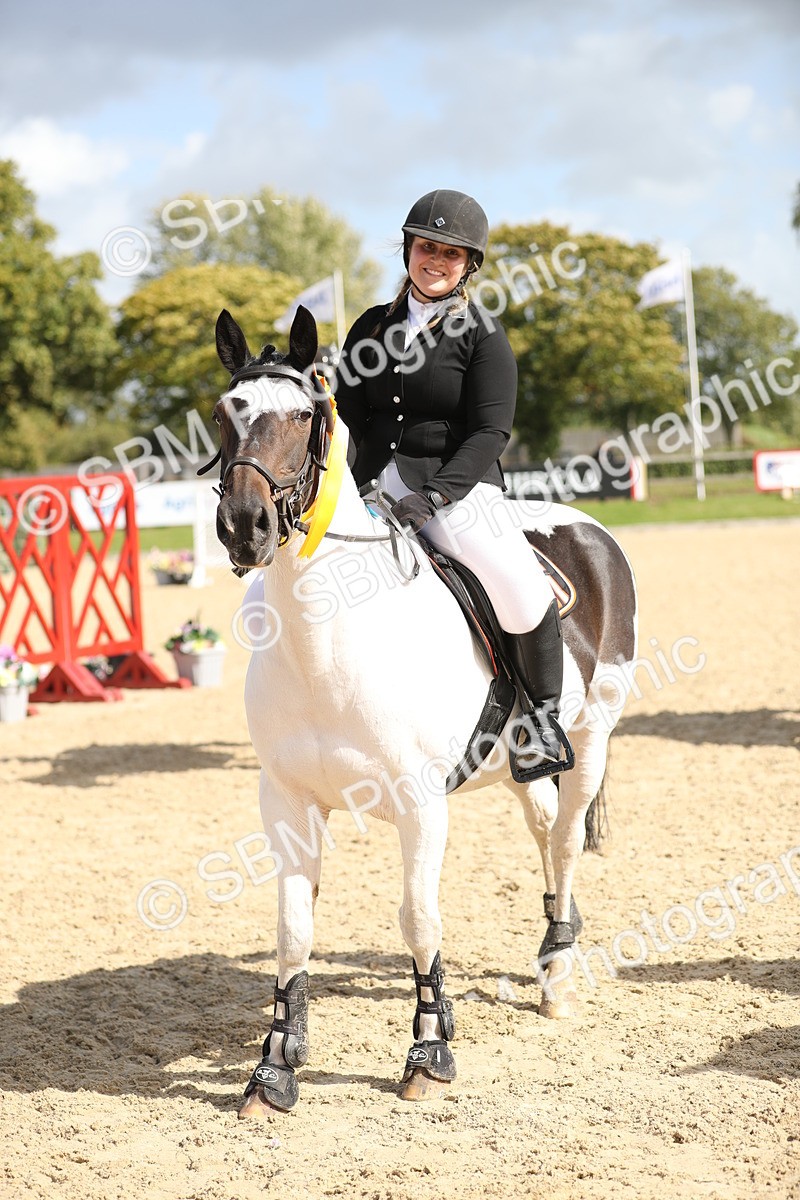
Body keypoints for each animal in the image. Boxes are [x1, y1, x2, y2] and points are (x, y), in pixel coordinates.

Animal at [205, 304, 638, 1118]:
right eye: (225, 413)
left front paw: (430, 1052)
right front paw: (273, 1068)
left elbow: (418, 917)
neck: (329, 640)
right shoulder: (286, 800)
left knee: (566, 839)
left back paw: (559, 971)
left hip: (592, 737)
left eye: (305, 416)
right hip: (518, 764)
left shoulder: (418, 803)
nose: (245, 526)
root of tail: (585, 525)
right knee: (541, 824)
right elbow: (293, 927)